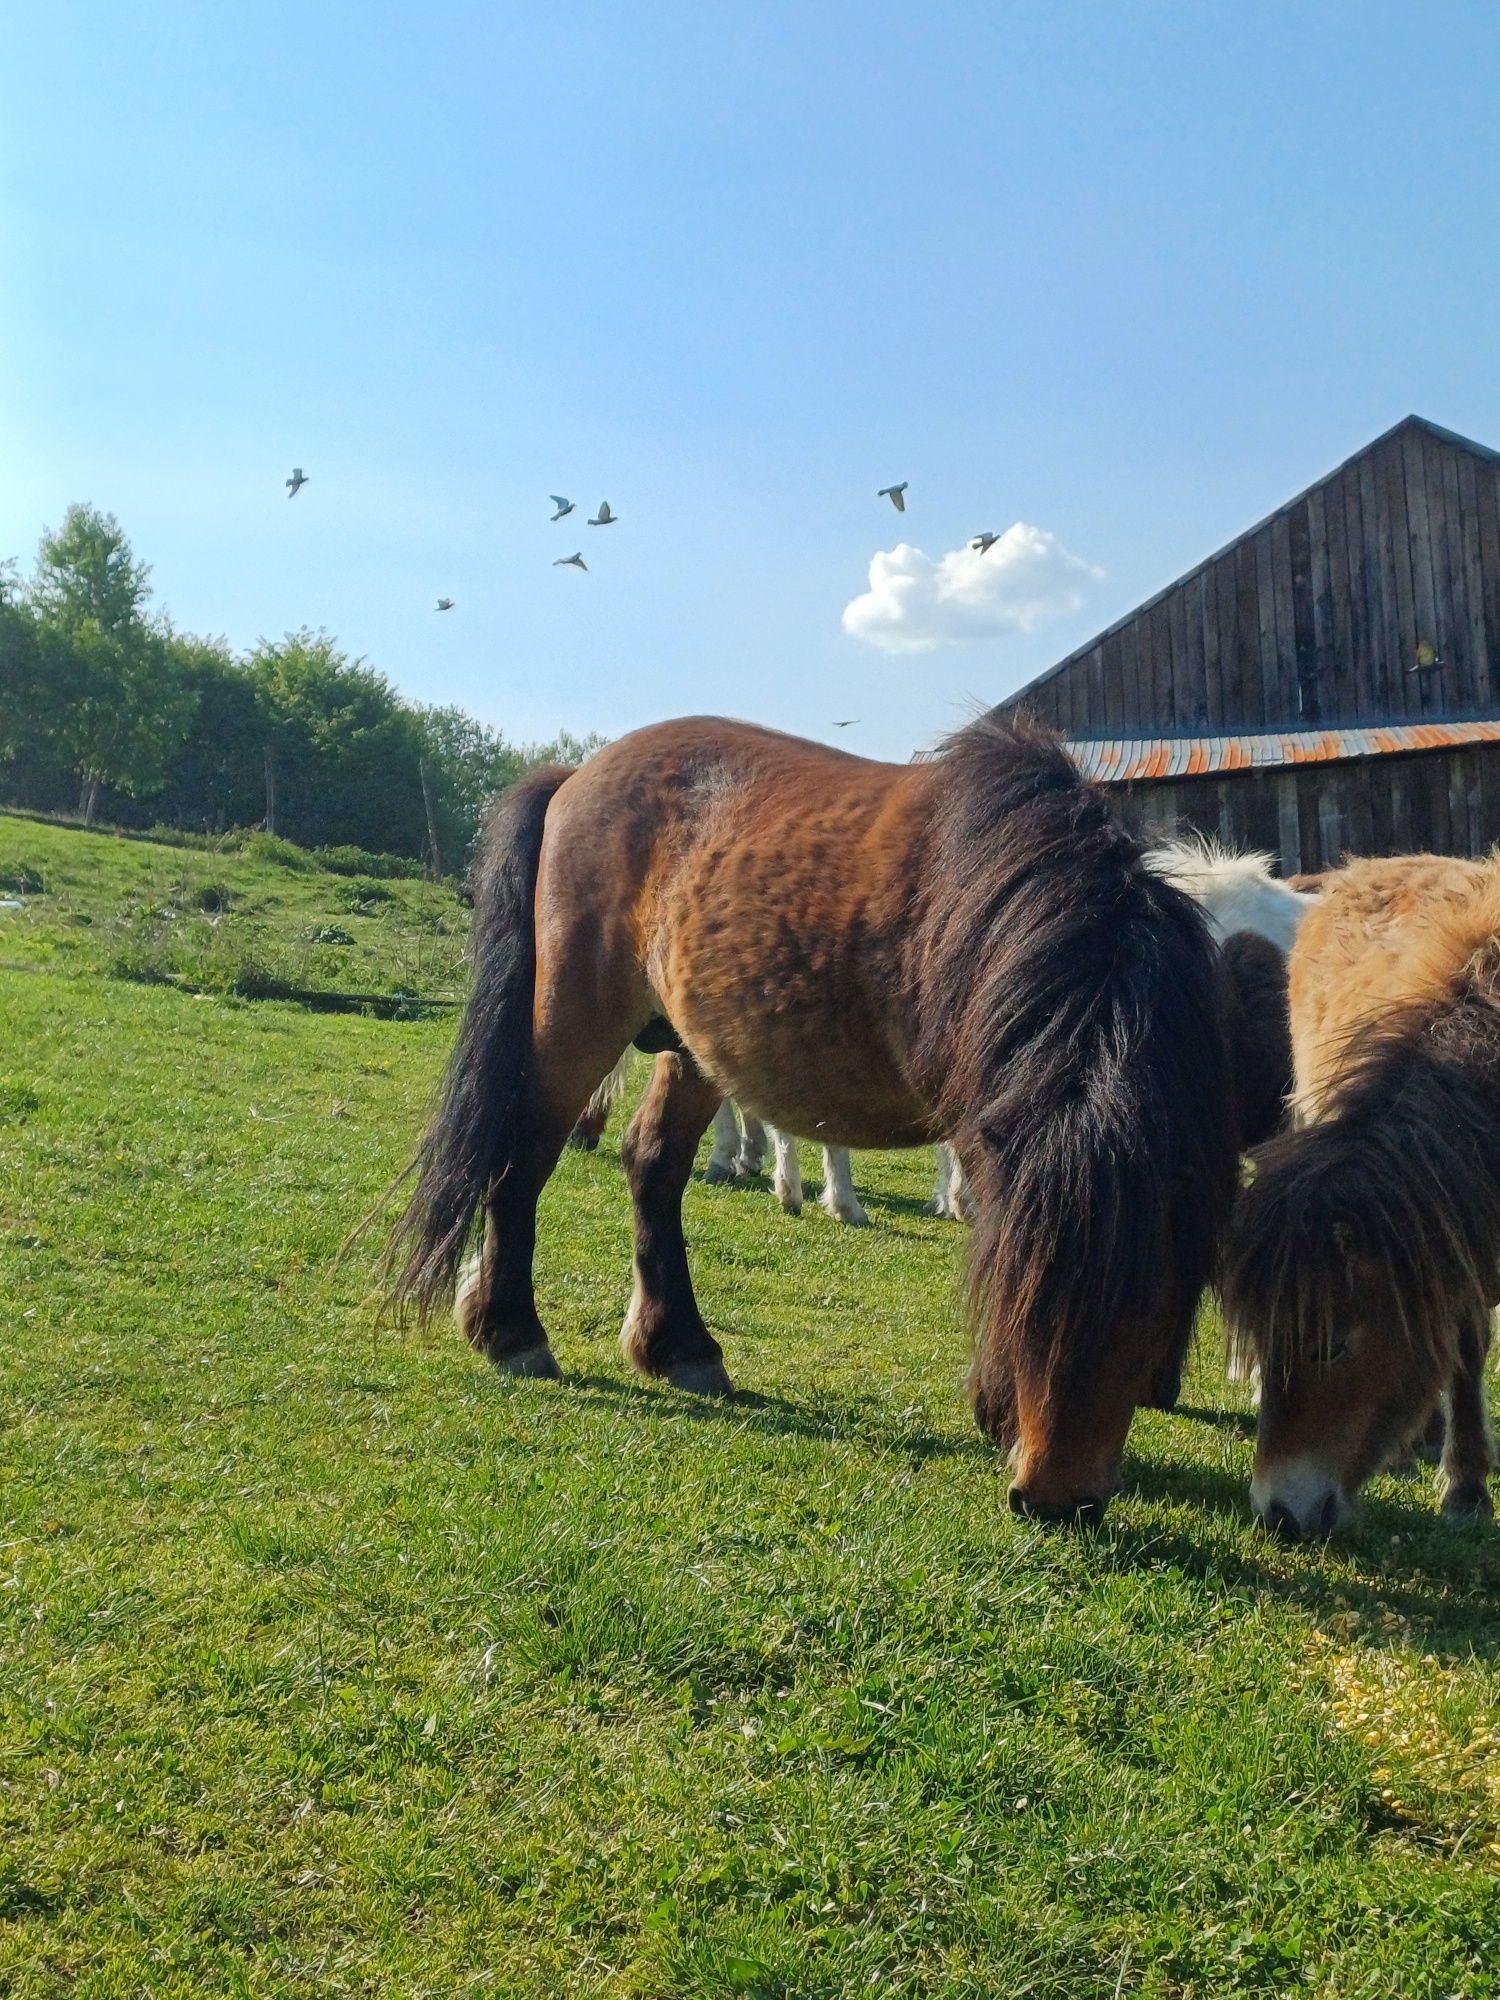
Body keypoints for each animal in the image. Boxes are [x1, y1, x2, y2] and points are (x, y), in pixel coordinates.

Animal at [384, 716, 1232, 1512]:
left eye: (1154, 1302)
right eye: (1022, 1287)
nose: (1057, 1497)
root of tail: (574, 778)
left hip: (691, 1049)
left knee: (652, 1166)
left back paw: (678, 1346)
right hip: (575, 1019)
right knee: (524, 1156)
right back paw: (510, 1332)